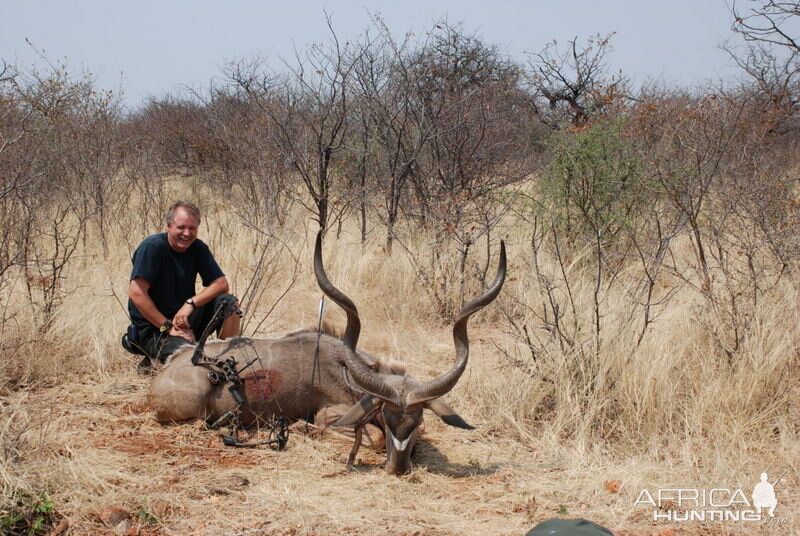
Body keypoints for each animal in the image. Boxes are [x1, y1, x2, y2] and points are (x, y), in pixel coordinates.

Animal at [147, 232, 504, 476]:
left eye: (415, 422)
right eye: (388, 420)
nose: (398, 469)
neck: (348, 373)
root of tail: (166, 371)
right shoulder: (331, 414)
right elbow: (370, 437)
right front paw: (303, 431)